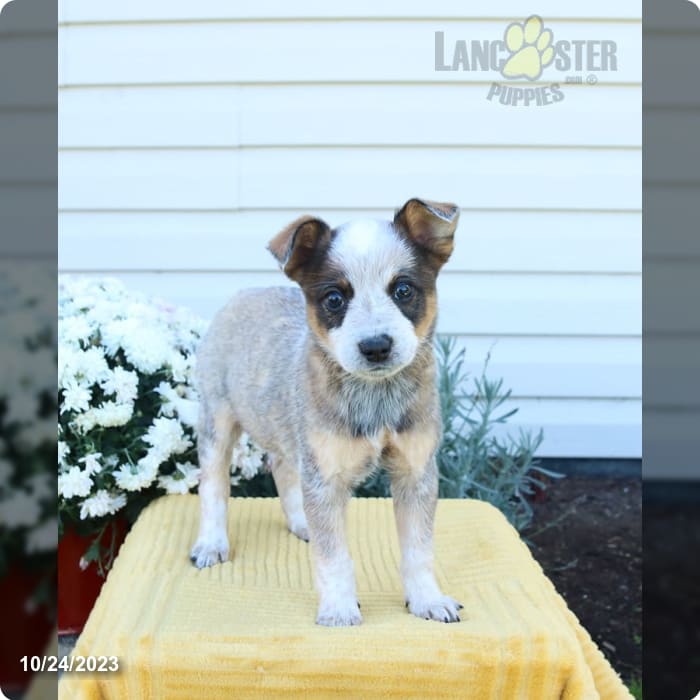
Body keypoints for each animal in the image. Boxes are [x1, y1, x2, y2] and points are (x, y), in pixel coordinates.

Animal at [191, 198, 464, 628]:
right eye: (334, 299)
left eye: (403, 289)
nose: (375, 346)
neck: (374, 399)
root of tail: (244, 292)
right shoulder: (326, 474)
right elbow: (333, 555)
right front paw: (338, 608)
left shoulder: (416, 470)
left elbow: (419, 549)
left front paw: (427, 599)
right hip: (216, 418)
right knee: (213, 484)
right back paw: (211, 542)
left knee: (282, 466)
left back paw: (302, 521)